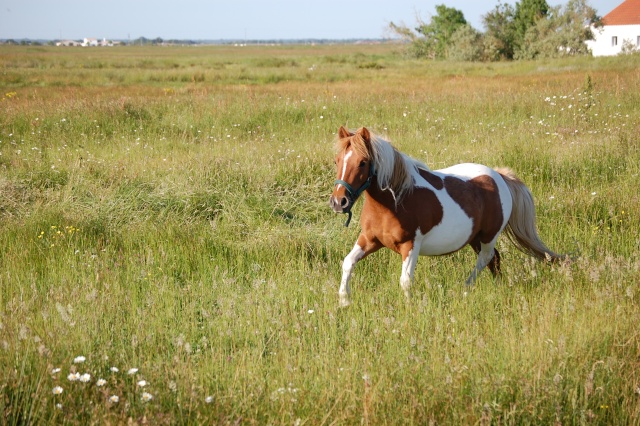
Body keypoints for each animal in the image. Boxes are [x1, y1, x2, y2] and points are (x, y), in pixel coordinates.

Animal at [330, 125, 564, 306]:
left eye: (363, 162)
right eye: (337, 160)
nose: (338, 202)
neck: (395, 200)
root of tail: (500, 176)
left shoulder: (410, 245)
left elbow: (405, 280)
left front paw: (408, 308)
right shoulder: (369, 239)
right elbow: (348, 263)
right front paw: (344, 301)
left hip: (489, 235)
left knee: (486, 258)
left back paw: (466, 288)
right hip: (474, 237)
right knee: (494, 260)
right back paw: (496, 288)